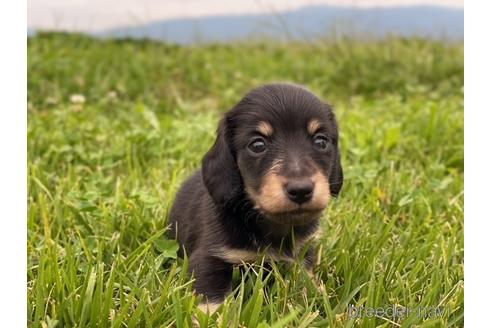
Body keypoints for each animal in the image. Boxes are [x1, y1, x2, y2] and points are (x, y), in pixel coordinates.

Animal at [168, 82, 342, 312]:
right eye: (257, 145)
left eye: (321, 142)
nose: (301, 190)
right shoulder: (210, 258)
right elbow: (212, 303)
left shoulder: (303, 255)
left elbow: (308, 282)